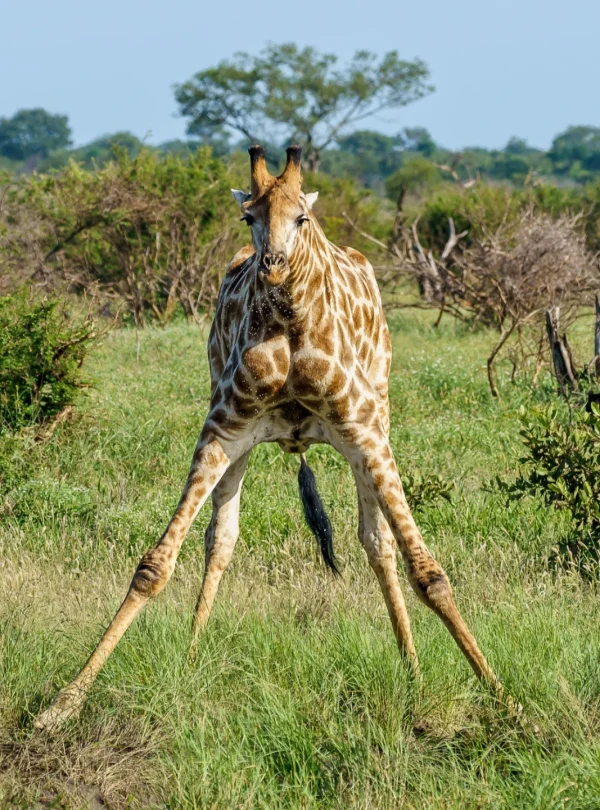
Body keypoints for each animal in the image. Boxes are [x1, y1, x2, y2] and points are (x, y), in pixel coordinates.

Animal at [36, 144, 504, 731]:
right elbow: (155, 565)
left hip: (374, 421)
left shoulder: (366, 431)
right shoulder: (221, 426)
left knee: (378, 545)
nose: (273, 265)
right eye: (248, 217)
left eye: (300, 217)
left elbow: (428, 571)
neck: (292, 321)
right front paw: (63, 704)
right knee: (221, 540)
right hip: (240, 436)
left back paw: (414, 668)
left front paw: (501, 694)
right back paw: (192, 656)